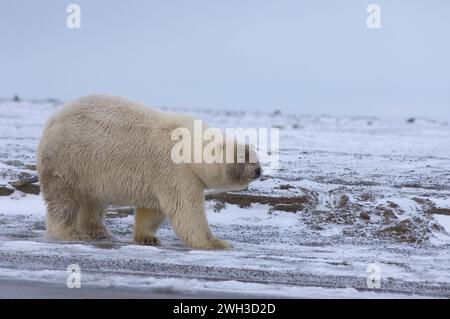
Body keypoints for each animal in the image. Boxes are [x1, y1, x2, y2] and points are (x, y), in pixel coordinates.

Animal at [37, 94, 262, 250]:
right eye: (245, 157)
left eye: (256, 156)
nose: (259, 170)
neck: (190, 147)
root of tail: (51, 120)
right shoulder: (176, 170)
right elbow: (186, 210)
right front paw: (218, 243)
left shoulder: (161, 176)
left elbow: (153, 210)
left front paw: (147, 237)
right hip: (67, 160)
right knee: (64, 200)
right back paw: (70, 233)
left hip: (88, 169)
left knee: (94, 201)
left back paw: (99, 231)